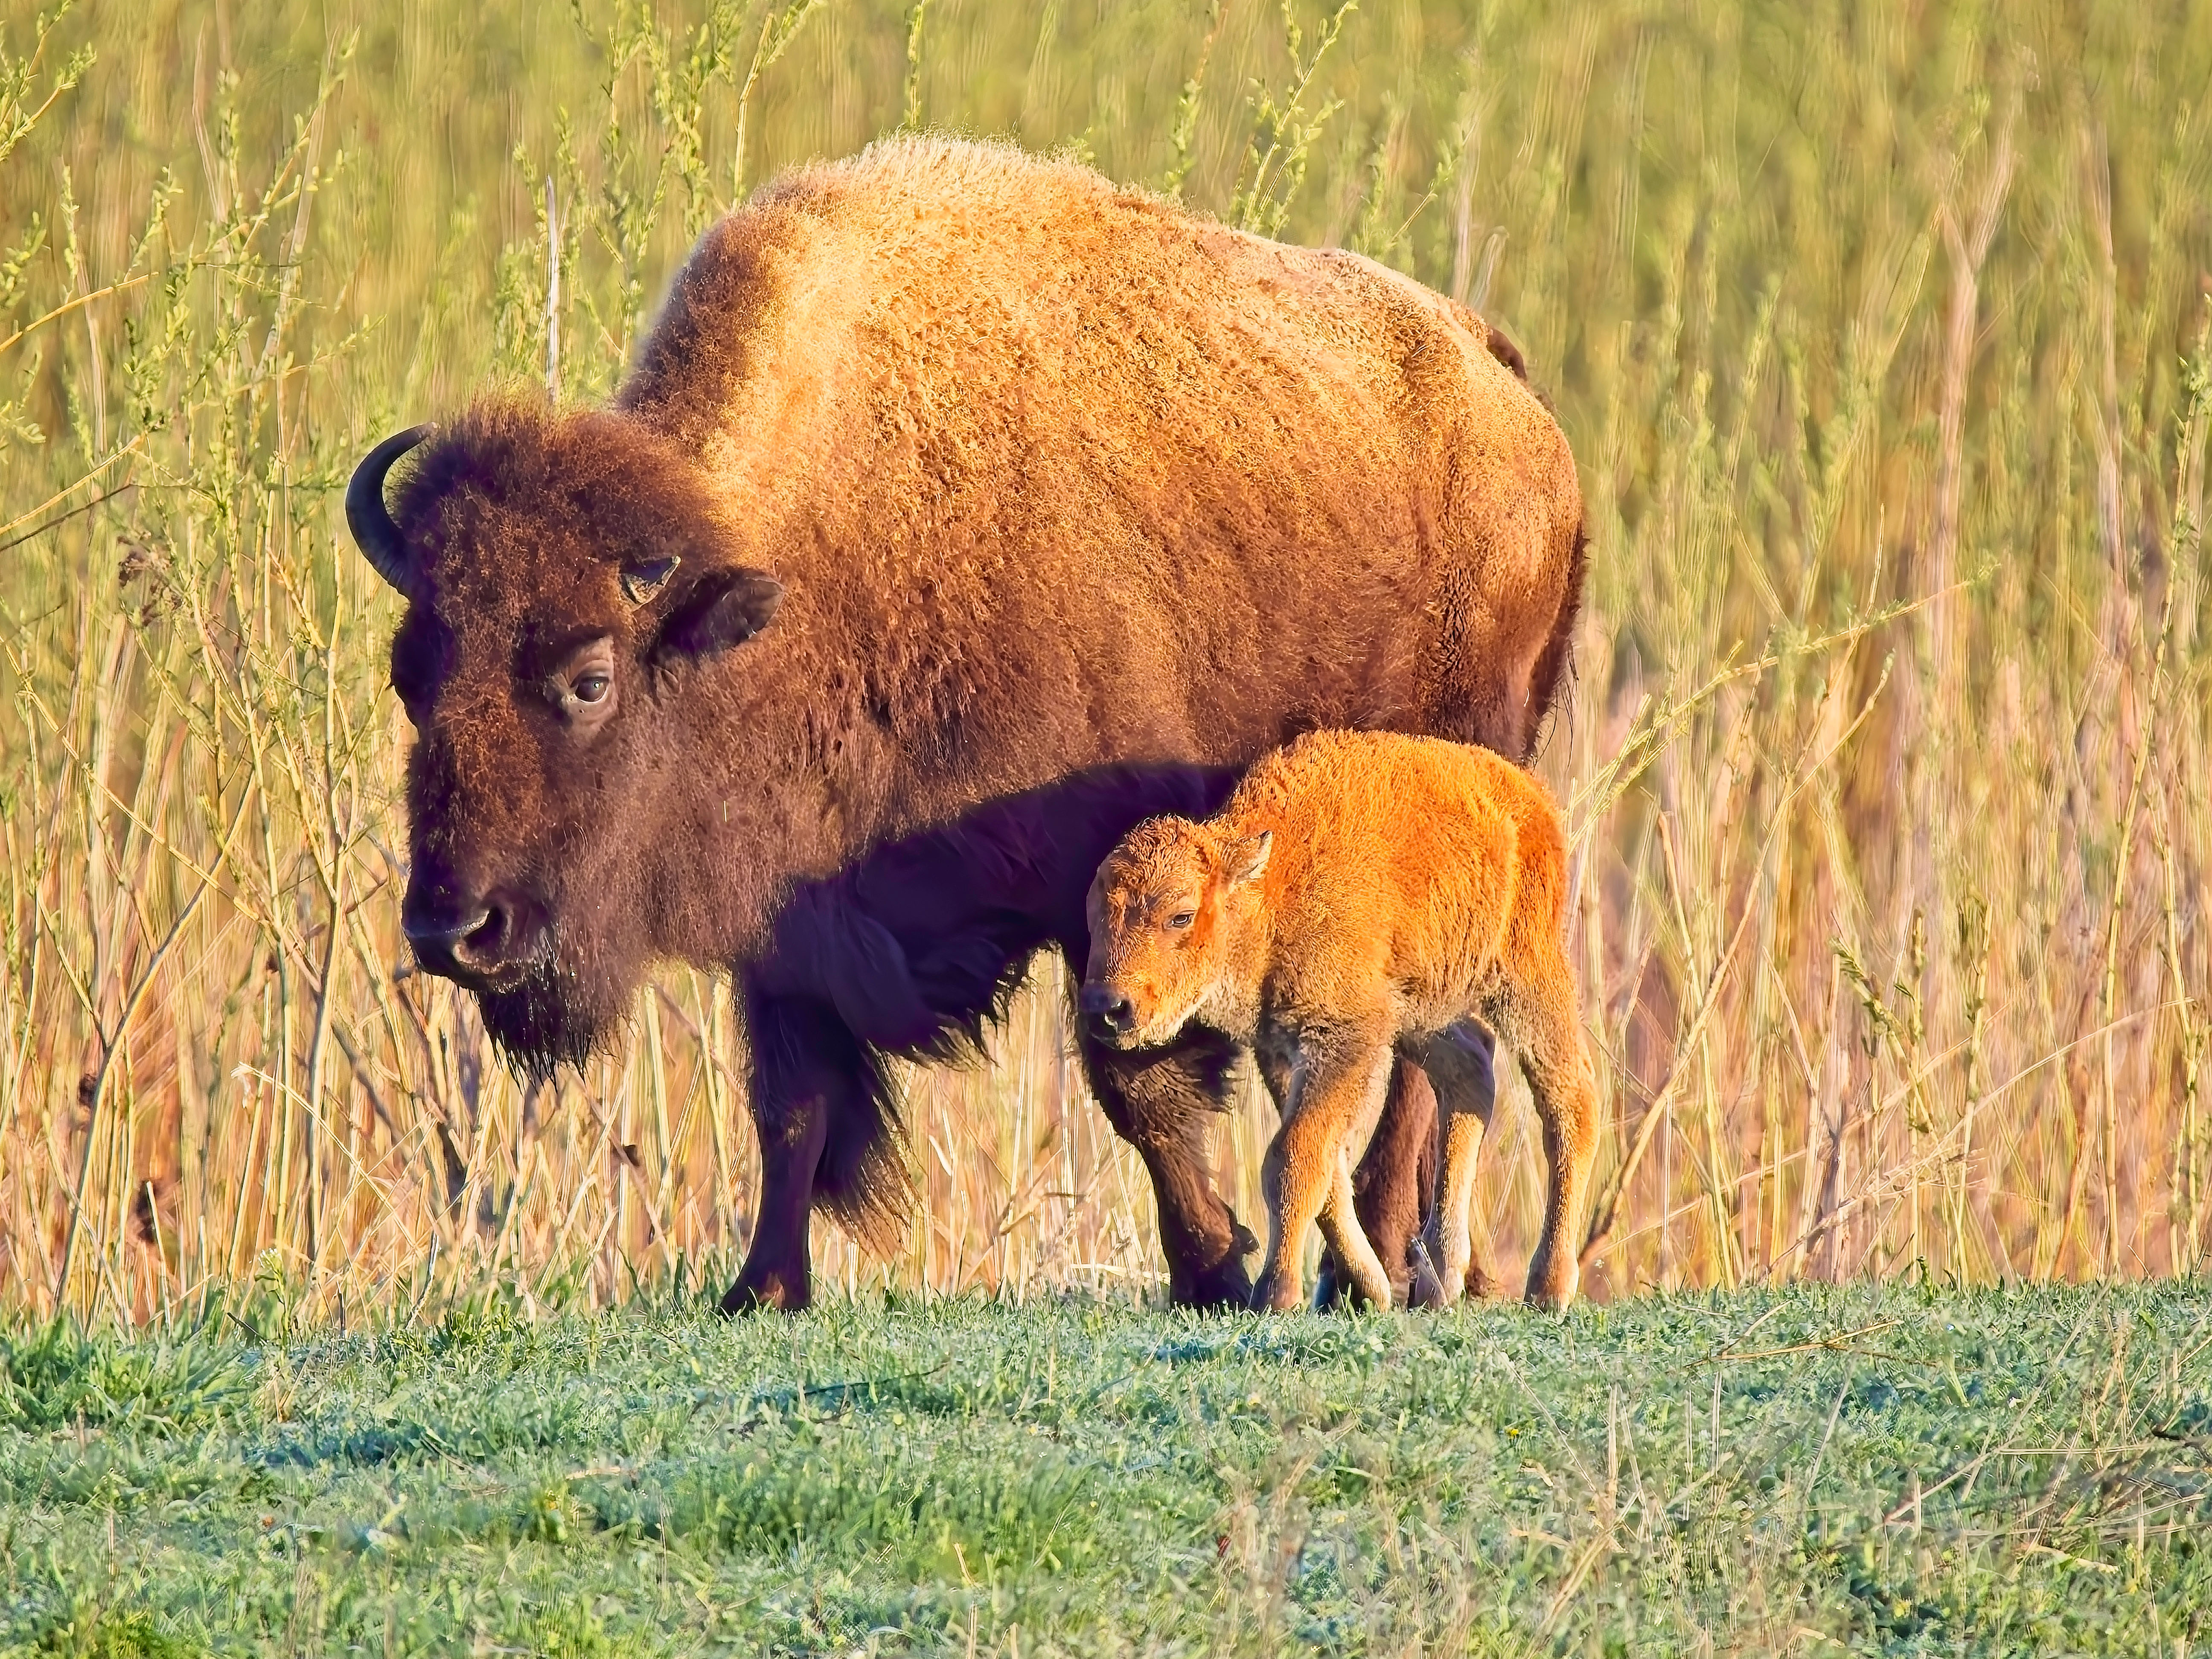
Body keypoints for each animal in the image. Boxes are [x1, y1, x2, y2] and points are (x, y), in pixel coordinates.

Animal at [1080, 730, 1601, 1312]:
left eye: (1180, 915)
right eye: (1094, 916)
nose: (1108, 1006)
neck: (1272, 889)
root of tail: (1528, 796)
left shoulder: (1344, 1041)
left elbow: (1292, 1159)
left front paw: (1276, 1292)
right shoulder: (1285, 1051)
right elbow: (1324, 1169)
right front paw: (1369, 1286)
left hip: (1526, 977)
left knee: (1570, 1097)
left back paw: (1549, 1286)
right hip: (1422, 1012)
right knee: (1471, 1073)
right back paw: (1440, 1280)